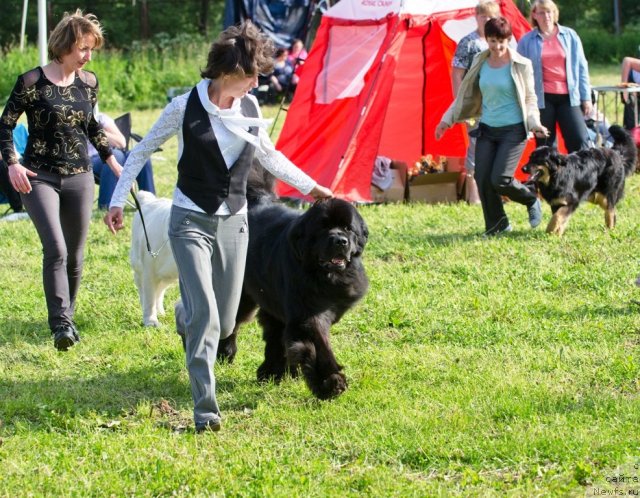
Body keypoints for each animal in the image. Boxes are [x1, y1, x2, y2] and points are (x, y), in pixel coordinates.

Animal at [129, 191, 178, 326]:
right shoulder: (149, 271)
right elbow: (149, 297)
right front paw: (150, 321)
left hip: (168, 275)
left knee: (160, 290)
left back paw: (160, 311)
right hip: (138, 266)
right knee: (143, 287)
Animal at [218, 165, 370, 398]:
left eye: (348, 228)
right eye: (323, 228)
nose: (340, 241)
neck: (321, 275)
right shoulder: (306, 314)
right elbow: (318, 343)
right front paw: (330, 381)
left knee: (273, 333)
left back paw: (271, 372)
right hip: (242, 292)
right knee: (232, 321)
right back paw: (226, 354)